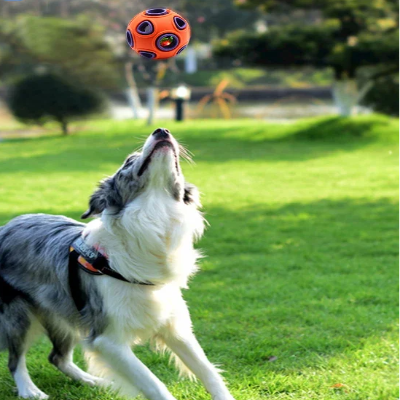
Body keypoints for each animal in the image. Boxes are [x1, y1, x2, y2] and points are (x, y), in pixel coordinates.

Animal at [0, 129, 236, 400]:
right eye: (128, 161)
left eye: (177, 164)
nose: (162, 130)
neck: (153, 215)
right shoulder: (108, 339)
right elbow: (154, 384)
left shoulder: (174, 325)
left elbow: (208, 372)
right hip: (19, 316)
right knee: (15, 360)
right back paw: (30, 390)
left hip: (64, 316)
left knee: (57, 357)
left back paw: (94, 381)